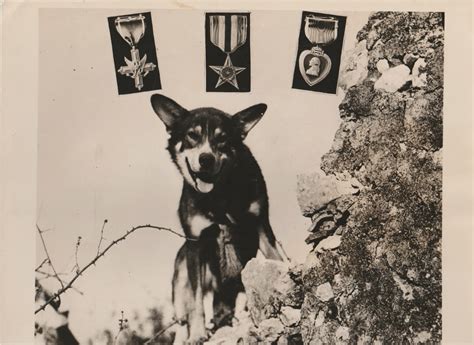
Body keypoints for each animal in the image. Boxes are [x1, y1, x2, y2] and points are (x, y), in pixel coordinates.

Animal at [150, 93, 282, 342]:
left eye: (223, 139)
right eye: (192, 135)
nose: (206, 159)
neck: (219, 197)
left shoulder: (261, 226)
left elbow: (276, 260)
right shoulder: (195, 243)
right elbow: (196, 302)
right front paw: (197, 334)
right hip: (180, 282)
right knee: (182, 320)